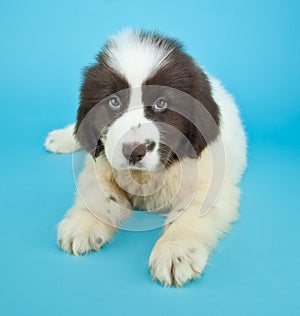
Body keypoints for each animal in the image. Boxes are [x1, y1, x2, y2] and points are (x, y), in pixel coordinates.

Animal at [44, 29, 246, 286]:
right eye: (114, 102)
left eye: (161, 104)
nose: (133, 150)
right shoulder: (100, 164)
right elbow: (99, 195)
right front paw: (82, 224)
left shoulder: (212, 185)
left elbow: (188, 215)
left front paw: (175, 252)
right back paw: (60, 138)